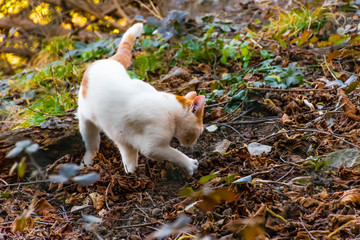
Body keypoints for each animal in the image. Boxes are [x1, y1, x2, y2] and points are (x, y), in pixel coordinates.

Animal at [77, 23, 204, 175]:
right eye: (200, 131)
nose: (195, 142)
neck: (171, 111)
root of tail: (108, 60)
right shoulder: (152, 147)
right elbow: (176, 154)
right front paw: (190, 165)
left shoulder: (127, 141)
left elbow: (129, 160)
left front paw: (132, 174)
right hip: (86, 123)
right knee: (92, 145)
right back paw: (87, 162)